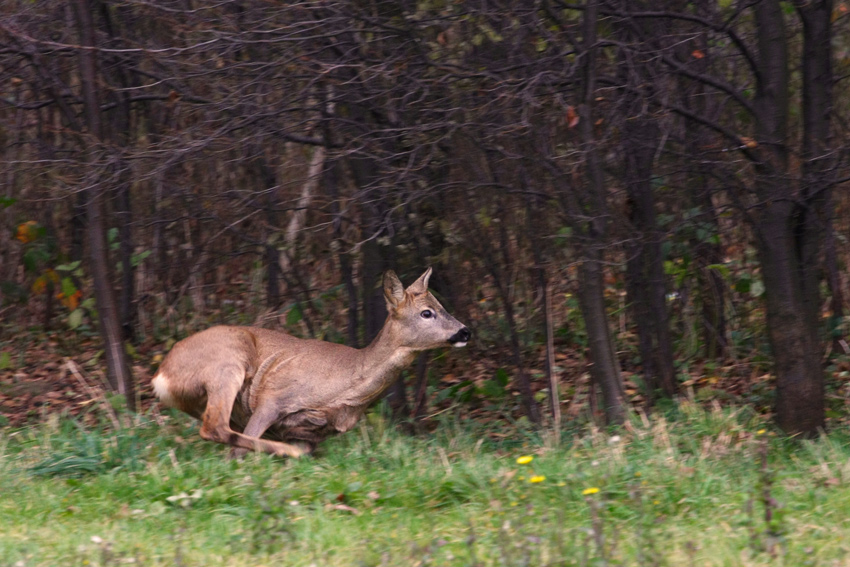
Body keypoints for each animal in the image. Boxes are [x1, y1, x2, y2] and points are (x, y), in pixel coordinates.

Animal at [152, 268, 470, 460]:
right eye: (427, 312)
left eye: (442, 306)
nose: (465, 331)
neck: (345, 389)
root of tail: (161, 375)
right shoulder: (272, 399)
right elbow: (243, 448)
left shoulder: (310, 435)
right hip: (228, 362)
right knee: (214, 427)